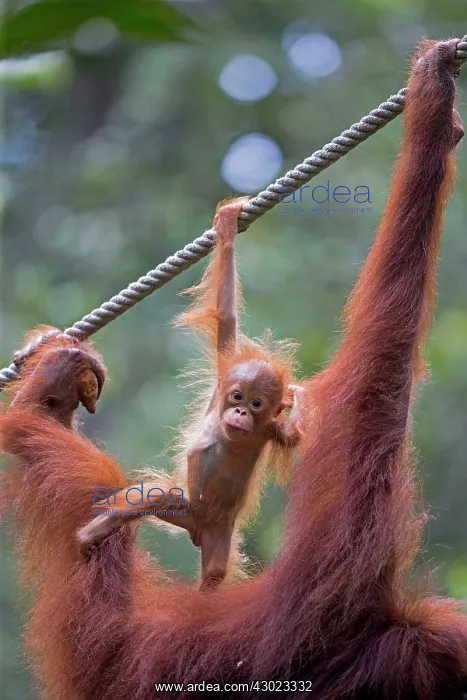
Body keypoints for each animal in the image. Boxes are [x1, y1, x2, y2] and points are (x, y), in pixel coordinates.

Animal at [77, 197, 303, 590]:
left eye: (257, 404)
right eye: (237, 397)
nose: (241, 413)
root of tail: (196, 529)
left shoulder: (269, 429)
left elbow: (292, 435)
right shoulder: (223, 374)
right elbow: (226, 318)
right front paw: (228, 225)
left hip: (219, 530)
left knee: (214, 570)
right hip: (185, 509)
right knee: (158, 495)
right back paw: (94, 531)